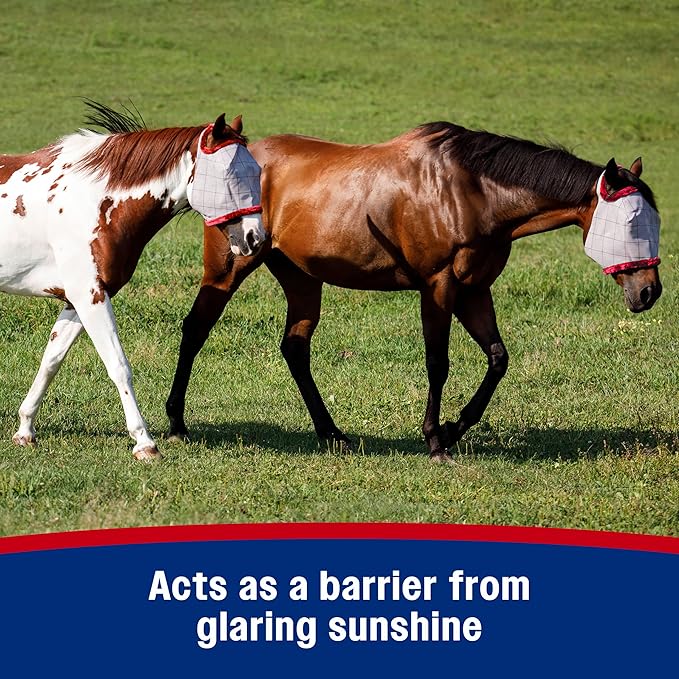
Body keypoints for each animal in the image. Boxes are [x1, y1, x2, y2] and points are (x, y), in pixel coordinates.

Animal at [0, 104, 266, 460]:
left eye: (257, 172)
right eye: (229, 175)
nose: (254, 238)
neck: (96, 200)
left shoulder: (76, 300)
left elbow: (51, 361)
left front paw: (25, 430)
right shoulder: (90, 297)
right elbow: (118, 365)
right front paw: (144, 442)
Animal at [163, 122, 662, 461]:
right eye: (632, 222)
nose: (650, 292)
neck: (472, 192)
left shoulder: (475, 291)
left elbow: (498, 359)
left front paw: (455, 428)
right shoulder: (438, 287)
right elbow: (438, 363)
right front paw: (435, 438)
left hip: (302, 279)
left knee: (295, 349)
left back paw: (332, 433)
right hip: (229, 267)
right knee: (195, 330)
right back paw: (177, 422)